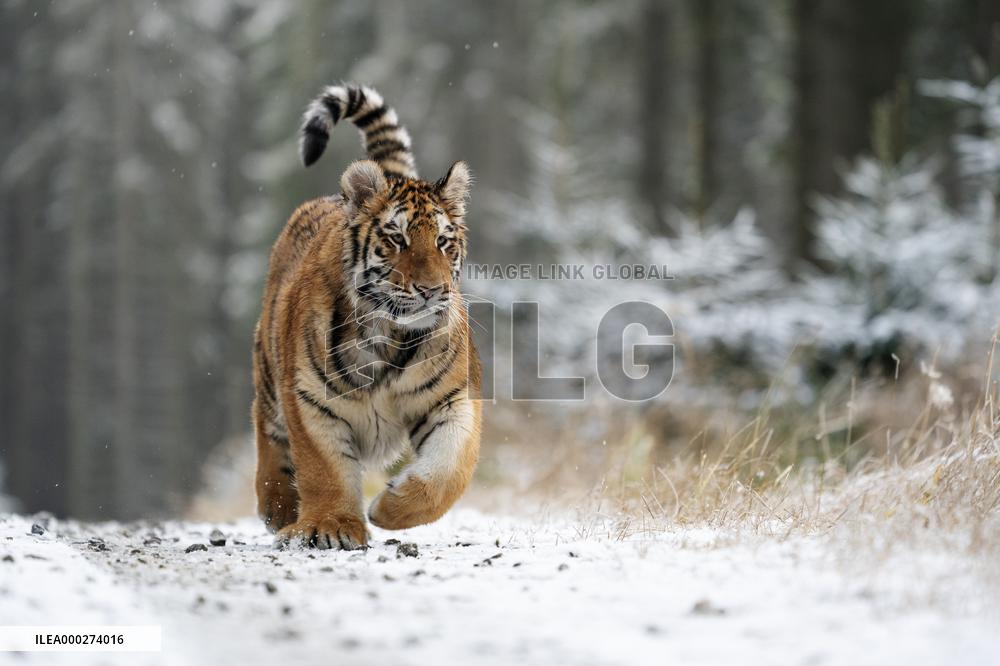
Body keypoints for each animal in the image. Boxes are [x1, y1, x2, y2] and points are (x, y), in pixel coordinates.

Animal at [251, 83, 481, 549]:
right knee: (267, 432)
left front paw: (389, 509)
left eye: (444, 242)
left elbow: (449, 469)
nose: (432, 290)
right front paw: (333, 526)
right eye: (397, 240)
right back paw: (279, 509)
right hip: (268, 371)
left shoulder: (452, 399)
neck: (390, 335)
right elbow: (324, 468)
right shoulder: (309, 399)